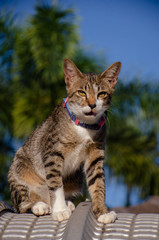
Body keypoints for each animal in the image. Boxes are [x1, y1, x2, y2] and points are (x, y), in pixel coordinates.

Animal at [8, 57, 121, 223]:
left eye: (101, 94)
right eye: (81, 92)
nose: (92, 105)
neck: (83, 126)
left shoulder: (95, 156)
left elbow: (98, 184)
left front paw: (102, 212)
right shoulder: (52, 152)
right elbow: (55, 183)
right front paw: (60, 210)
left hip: (76, 180)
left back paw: (67, 203)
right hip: (19, 167)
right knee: (21, 205)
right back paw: (39, 205)